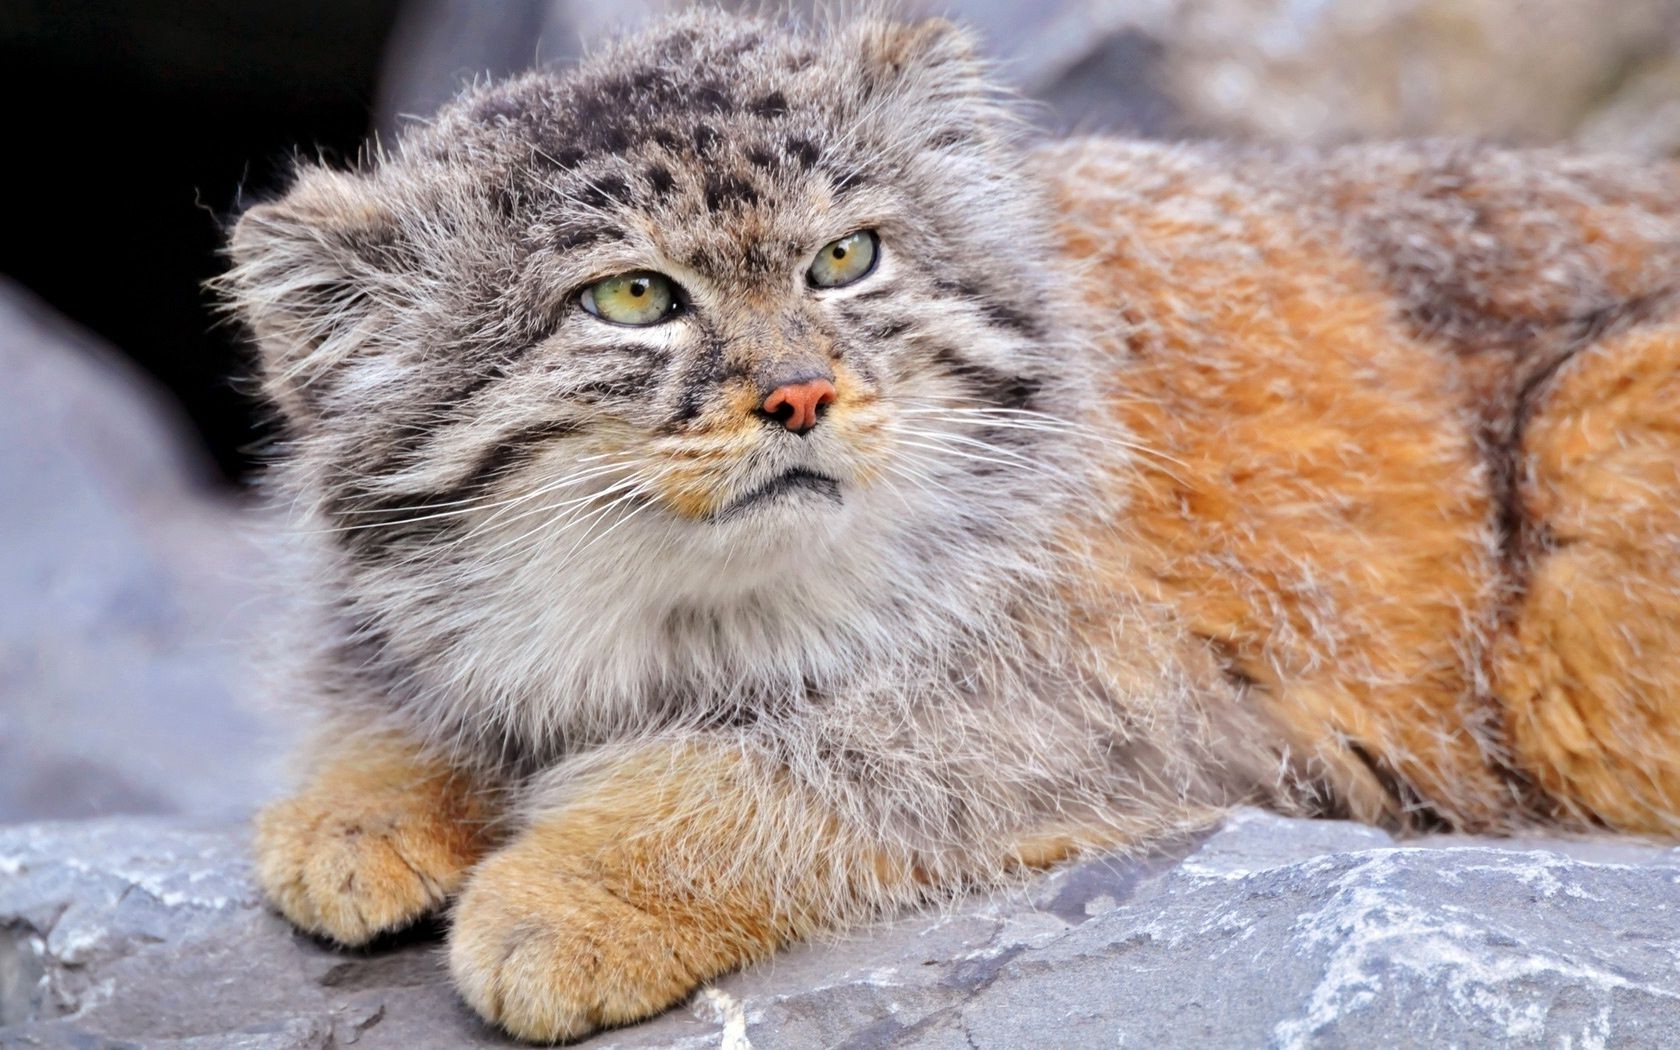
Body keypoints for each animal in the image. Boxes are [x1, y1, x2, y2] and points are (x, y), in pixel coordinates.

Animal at [220, 8, 1680, 1041]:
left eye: (845, 260)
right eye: (631, 297)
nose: (800, 393)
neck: (676, 619)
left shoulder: (1137, 716)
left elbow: (774, 768)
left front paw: (569, 895)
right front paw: (360, 798)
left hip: (1591, 463)